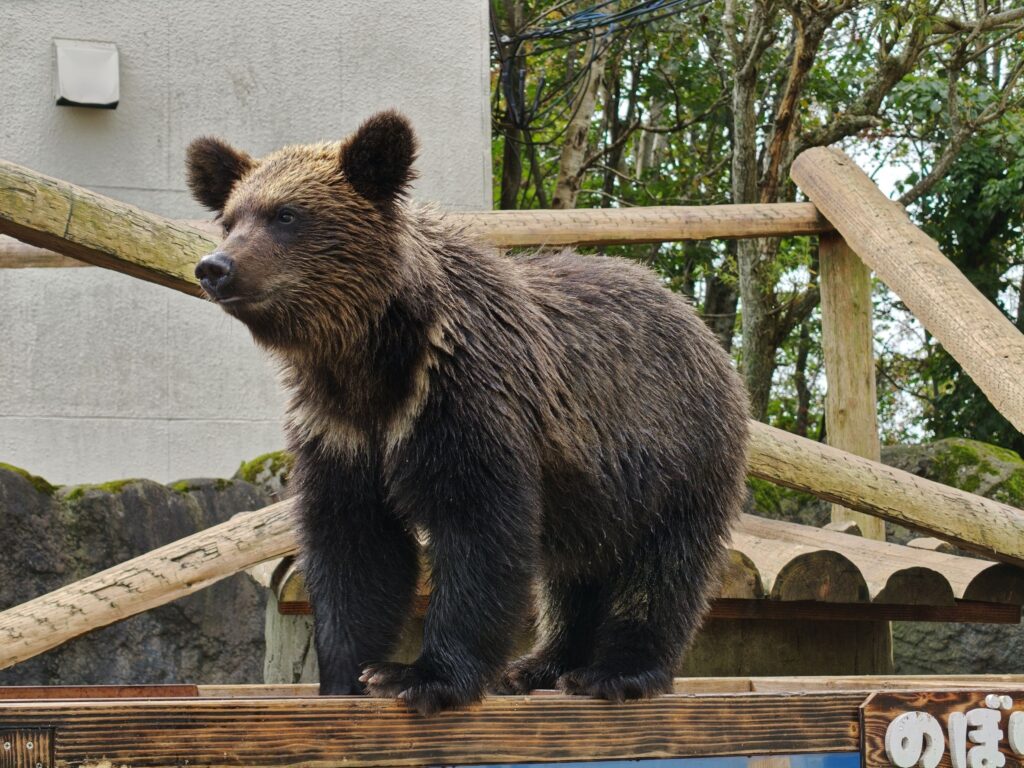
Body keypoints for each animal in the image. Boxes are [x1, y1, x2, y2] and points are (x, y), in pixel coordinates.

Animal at [187, 111, 749, 715]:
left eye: (286, 214)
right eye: (230, 219)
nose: (215, 267)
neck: (373, 361)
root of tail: (699, 326)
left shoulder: (463, 403)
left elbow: (478, 532)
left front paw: (420, 675)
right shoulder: (340, 431)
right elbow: (355, 547)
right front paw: (344, 675)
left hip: (672, 454)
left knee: (661, 566)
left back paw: (614, 672)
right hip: (594, 494)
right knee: (574, 575)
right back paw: (541, 664)